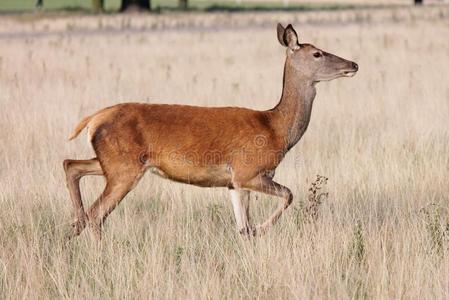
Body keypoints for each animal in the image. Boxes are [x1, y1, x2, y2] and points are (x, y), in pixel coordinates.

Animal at [63, 23, 356, 240]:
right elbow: (288, 194)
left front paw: (252, 233)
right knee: (97, 213)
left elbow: (242, 228)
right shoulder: (247, 171)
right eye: (317, 53)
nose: (353, 64)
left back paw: (74, 225)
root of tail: (93, 119)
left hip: (114, 162)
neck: (276, 128)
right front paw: (261, 229)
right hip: (124, 167)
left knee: (71, 165)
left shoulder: (233, 183)